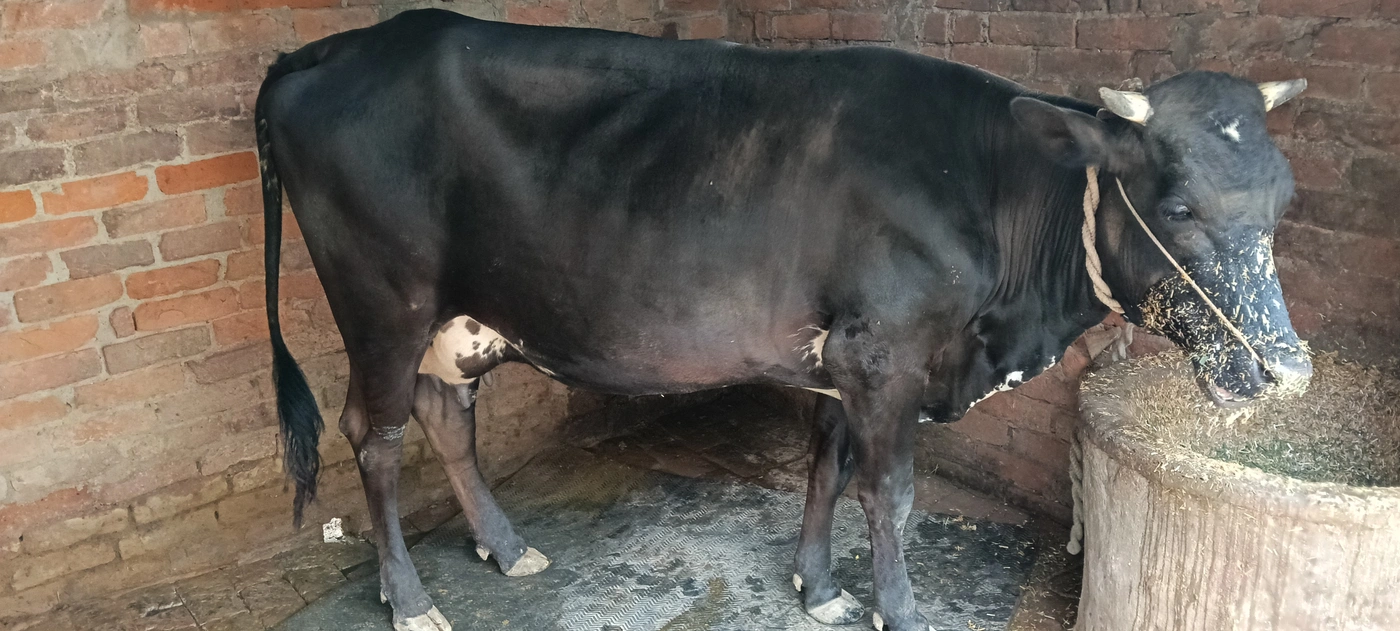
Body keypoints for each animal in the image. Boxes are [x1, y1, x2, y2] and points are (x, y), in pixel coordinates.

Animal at [254, 9, 1313, 631]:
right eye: (1178, 206)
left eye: (1282, 196)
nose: (1288, 370)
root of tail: (328, 48)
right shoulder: (885, 350)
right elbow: (889, 493)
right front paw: (897, 608)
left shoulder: (842, 353)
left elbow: (825, 469)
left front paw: (820, 585)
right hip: (381, 304)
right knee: (375, 436)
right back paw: (410, 598)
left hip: (458, 317)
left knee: (446, 417)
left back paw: (509, 551)